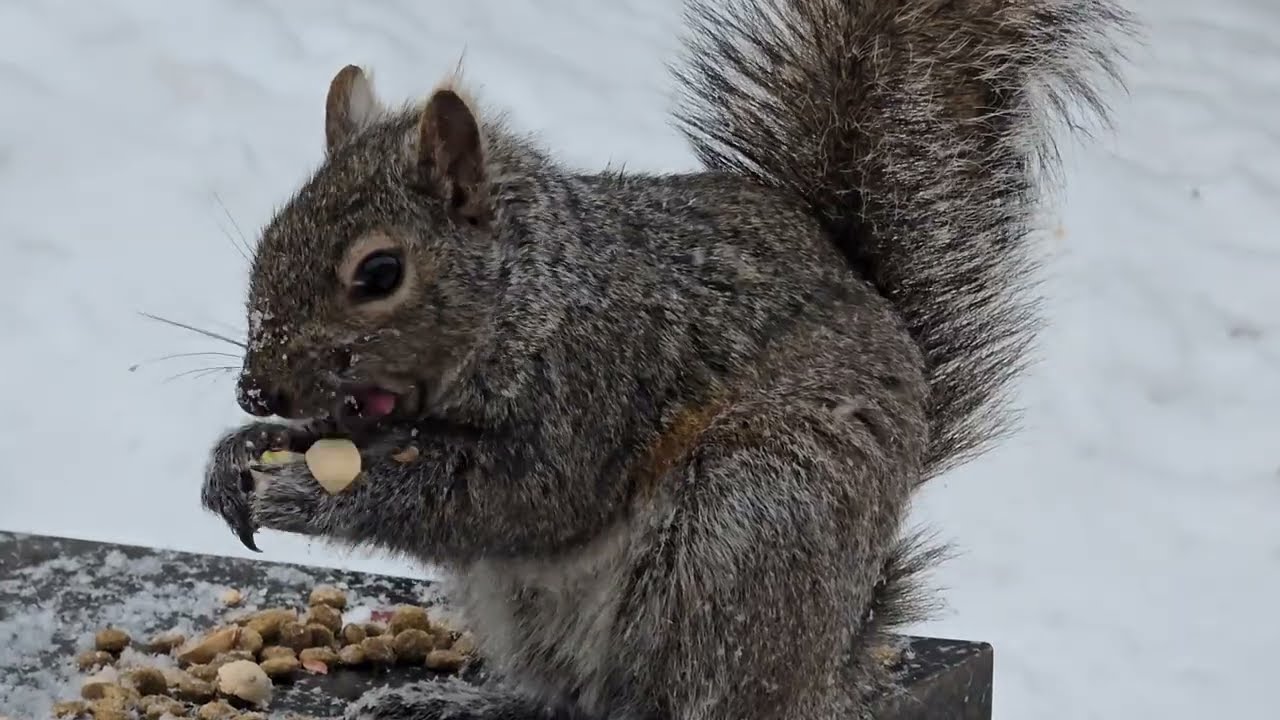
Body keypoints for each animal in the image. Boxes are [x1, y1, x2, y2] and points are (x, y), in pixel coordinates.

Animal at [201, 0, 1132, 718]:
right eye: (272, 235)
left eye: (380, 273)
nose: (255, 390)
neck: (535, 290)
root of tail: (833, 662)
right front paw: (238, 457)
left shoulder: (601, 378)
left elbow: (517, 497)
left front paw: (301, 489)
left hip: (744, 530)